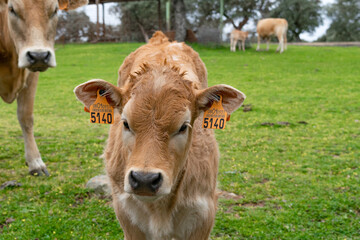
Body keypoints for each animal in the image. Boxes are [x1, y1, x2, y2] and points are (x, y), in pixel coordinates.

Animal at [0, 0, 88, 176]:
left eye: (54, 10)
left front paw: (35, 162)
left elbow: (26, 117)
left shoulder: (30, 76)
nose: (38, 56)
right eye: (12, 9)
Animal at [74, 31, 246, 238]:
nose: (144, 179)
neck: (160, 210)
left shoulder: (203, 216)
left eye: (183, 126)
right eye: (125, 122)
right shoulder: (127, 217)